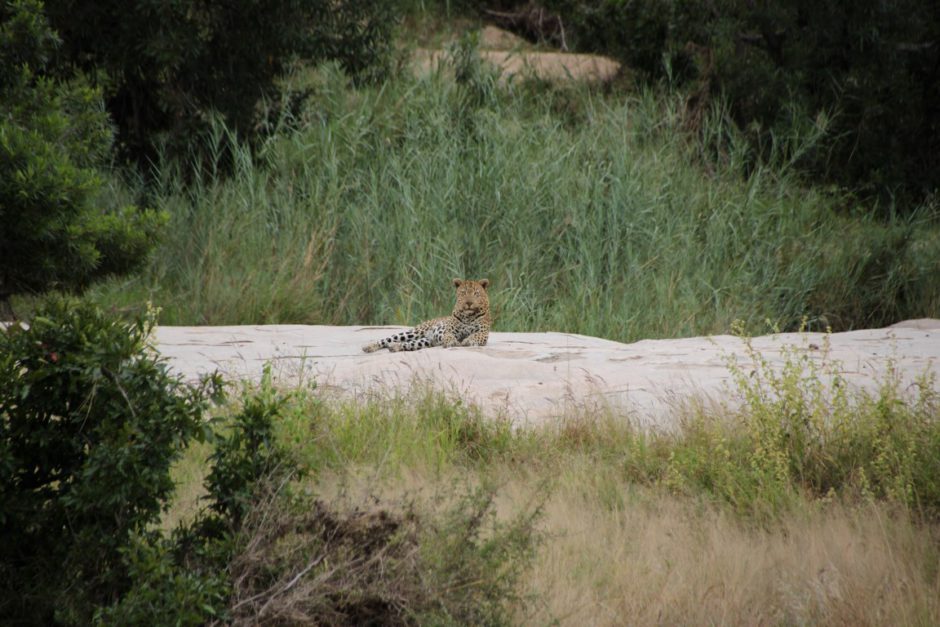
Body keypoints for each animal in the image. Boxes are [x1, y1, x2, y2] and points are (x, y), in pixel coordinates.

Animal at [362, 278, 492, 354]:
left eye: (476, 294)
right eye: (463, 293)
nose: (469, 303)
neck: (468, 316)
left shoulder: (483, 333)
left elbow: (475, 336)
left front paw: (467, 340)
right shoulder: (449, 331)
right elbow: (449, 336)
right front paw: (452, 342)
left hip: (424, 341)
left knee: (407, 344)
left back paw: (395, 347)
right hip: (414, 332)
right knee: (386, 339)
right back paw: (369, 347)